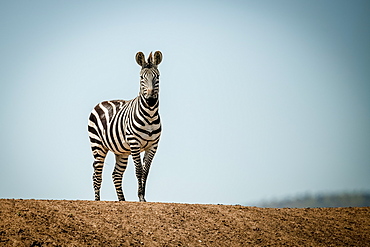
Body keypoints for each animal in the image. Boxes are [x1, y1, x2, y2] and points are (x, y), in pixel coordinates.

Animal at [87, 51, 163, 202]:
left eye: (157, 76)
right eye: (141, 77)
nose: (150, 100)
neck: (150, 115)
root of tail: (101, 102)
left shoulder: (153, 146)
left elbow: (145, 171)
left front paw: (143, 197)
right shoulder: (134, 143)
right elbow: (139, 170)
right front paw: (140, 198)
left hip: (121, 152)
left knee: (116, 175)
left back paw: (122, 200)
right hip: (98, 145)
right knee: (97, 174)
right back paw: (97, 200)